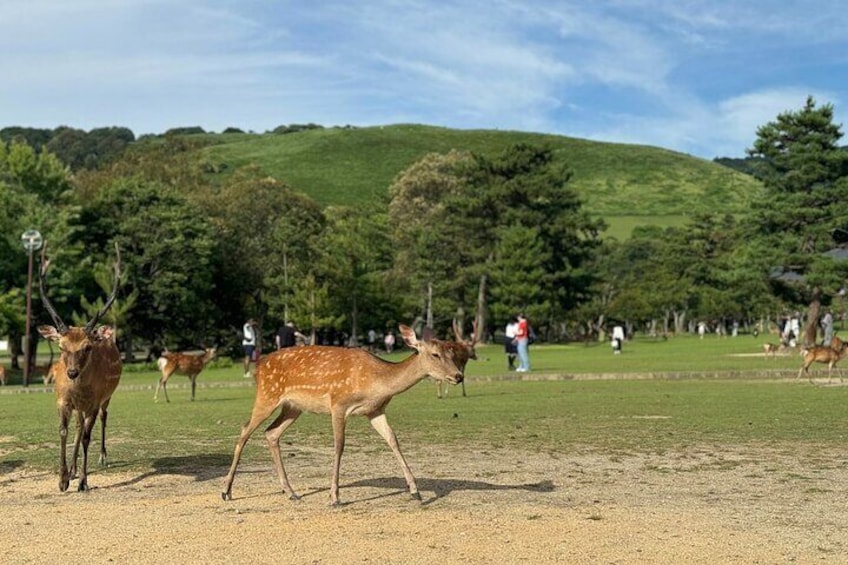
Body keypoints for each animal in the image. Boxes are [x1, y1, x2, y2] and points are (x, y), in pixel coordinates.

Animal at [37, 243, 122, 494]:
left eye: (88, 347)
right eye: (61, 346)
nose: (72, 373)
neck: (79, 390)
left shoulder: (93, 403)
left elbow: (86, 437)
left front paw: (84, 482)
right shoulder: (63, 401)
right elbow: (64, 431)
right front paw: (63, 479)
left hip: (107, 397)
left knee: (103, 417)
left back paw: (102, 457)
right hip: (79, 407)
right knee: (77, 426)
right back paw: (73, 469)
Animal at [222, 324, 474, 504]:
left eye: (452, 353)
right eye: (435, 354)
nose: (458, 376)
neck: (375, 383)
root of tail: (259, 366)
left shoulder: (375, 410)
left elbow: (393, 440)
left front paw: (416, 491)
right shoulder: (338, 404)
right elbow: (339, 446)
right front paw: (334, 496)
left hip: (293, 406)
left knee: (271, 433)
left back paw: (291, 491)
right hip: (267, 394)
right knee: (244, 430)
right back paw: (226, 490)